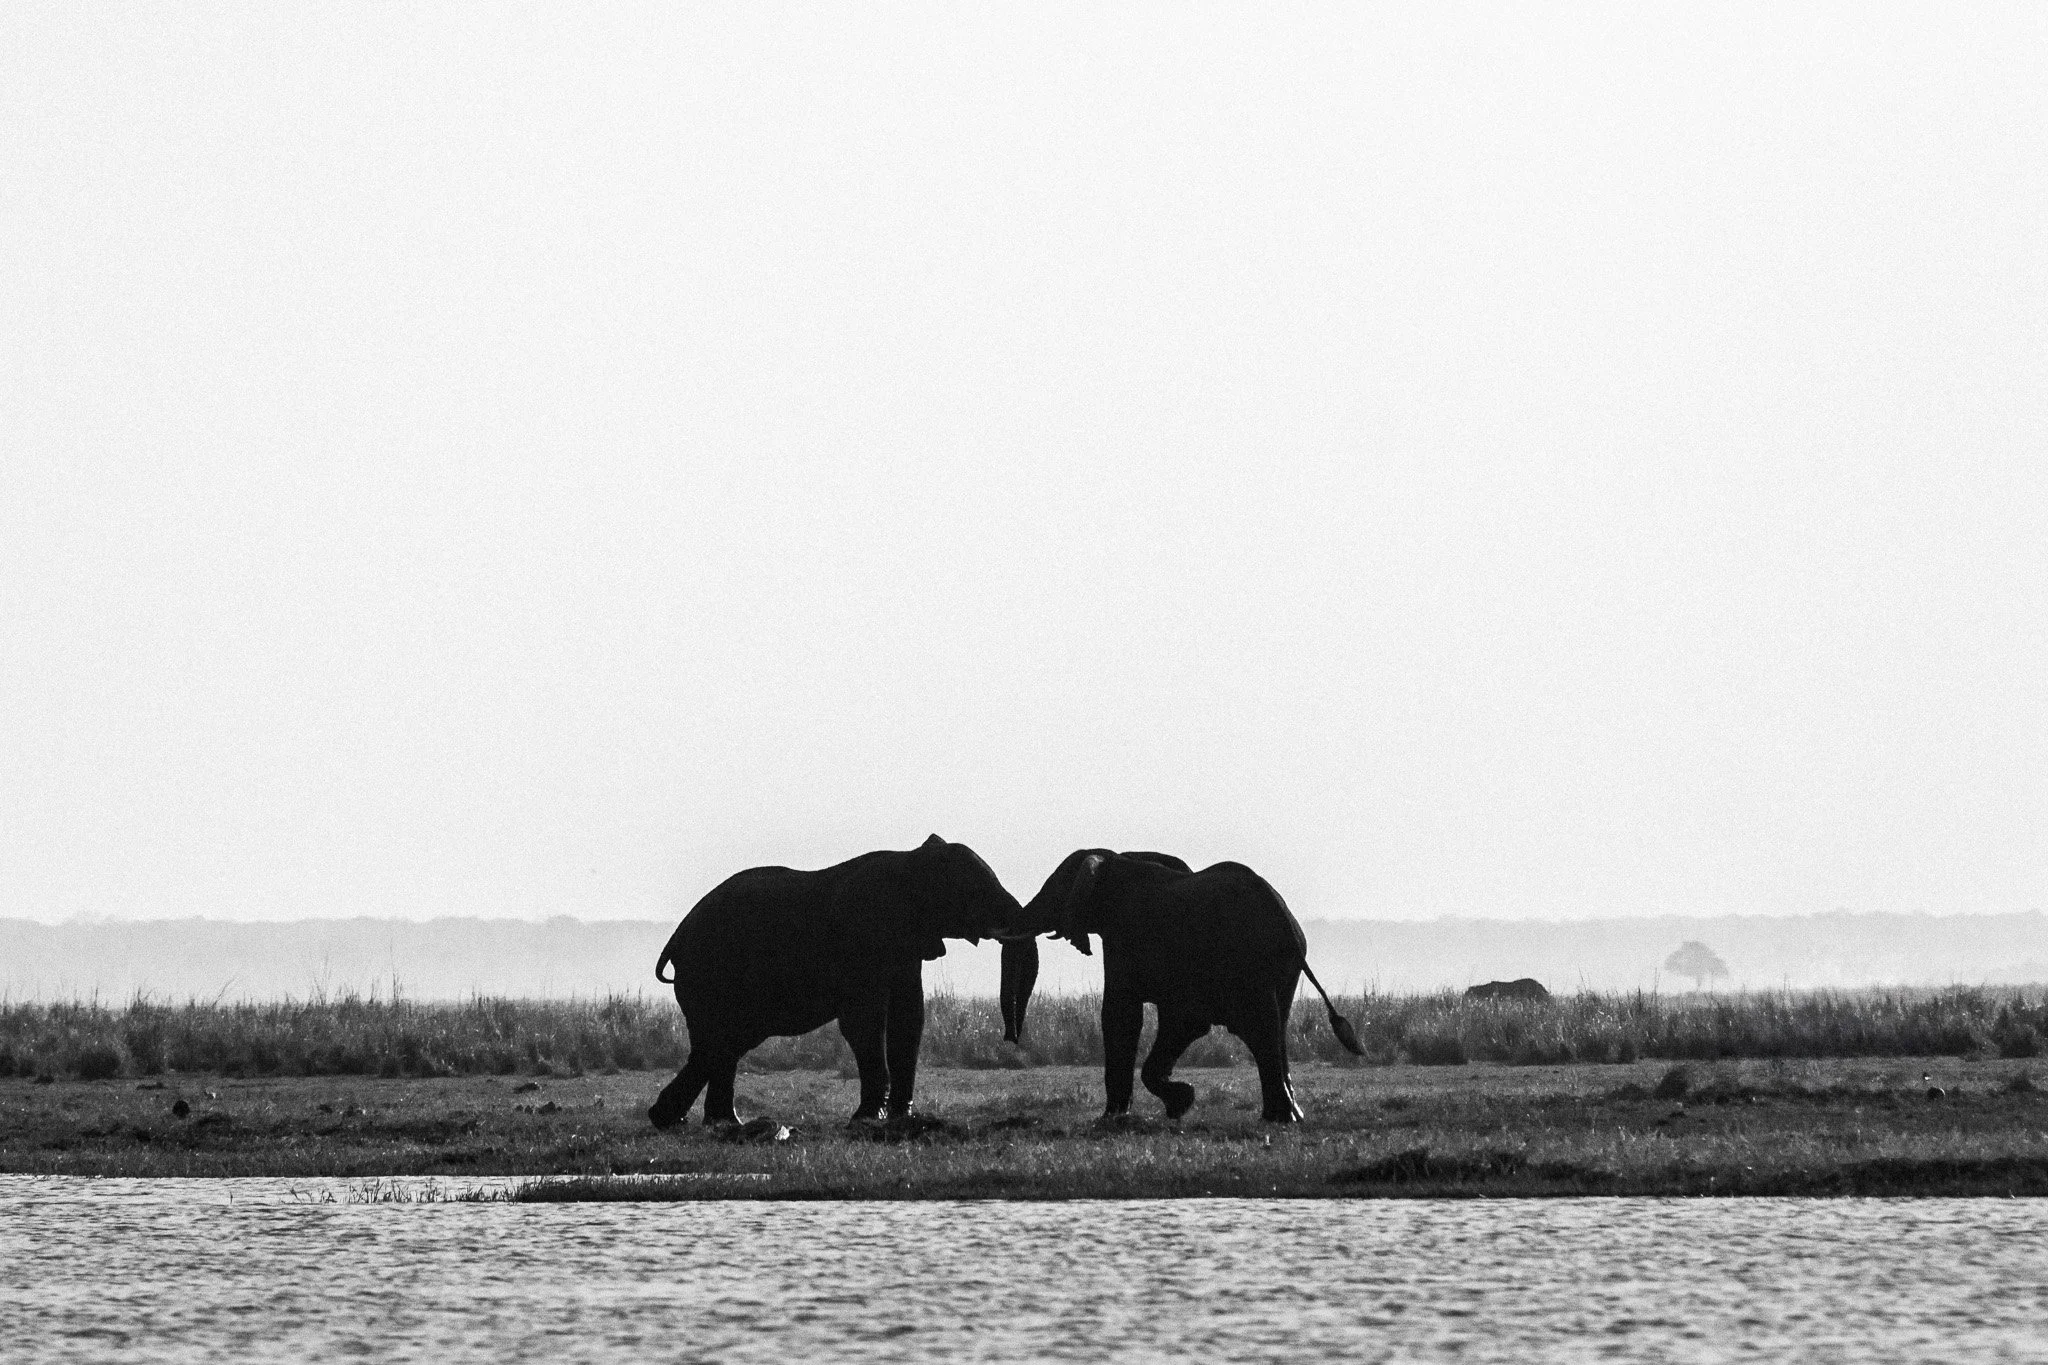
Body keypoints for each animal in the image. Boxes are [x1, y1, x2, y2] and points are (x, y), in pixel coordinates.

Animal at [648, 835, 1023, 1129]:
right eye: (975, 890)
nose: (1013, 1035)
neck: (910, 860)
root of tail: (675, 938)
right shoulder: (864, 936)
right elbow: (863, 1022)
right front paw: (868, 1119)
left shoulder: (907, 945)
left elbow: (909, 1018)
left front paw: (904, 1119)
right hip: (709, 975)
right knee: (721, 1039)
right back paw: (681, 1120)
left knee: (726, 1043)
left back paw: (707, 1122)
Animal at [999, 849, 1362, 1123]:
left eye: (1054, 890)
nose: (1013, 1039)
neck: (1114, 860)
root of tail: (1284, 919)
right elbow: (1167, 1021)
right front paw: (1173, 1105)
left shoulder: (1126, 938)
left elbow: (1125, 1016)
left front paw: (1130, 1114)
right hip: (1281, 969)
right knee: (1277, 1026)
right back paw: (1287, 1116)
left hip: (1247, 960)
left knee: (1260, 1029)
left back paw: (1281, 1118)